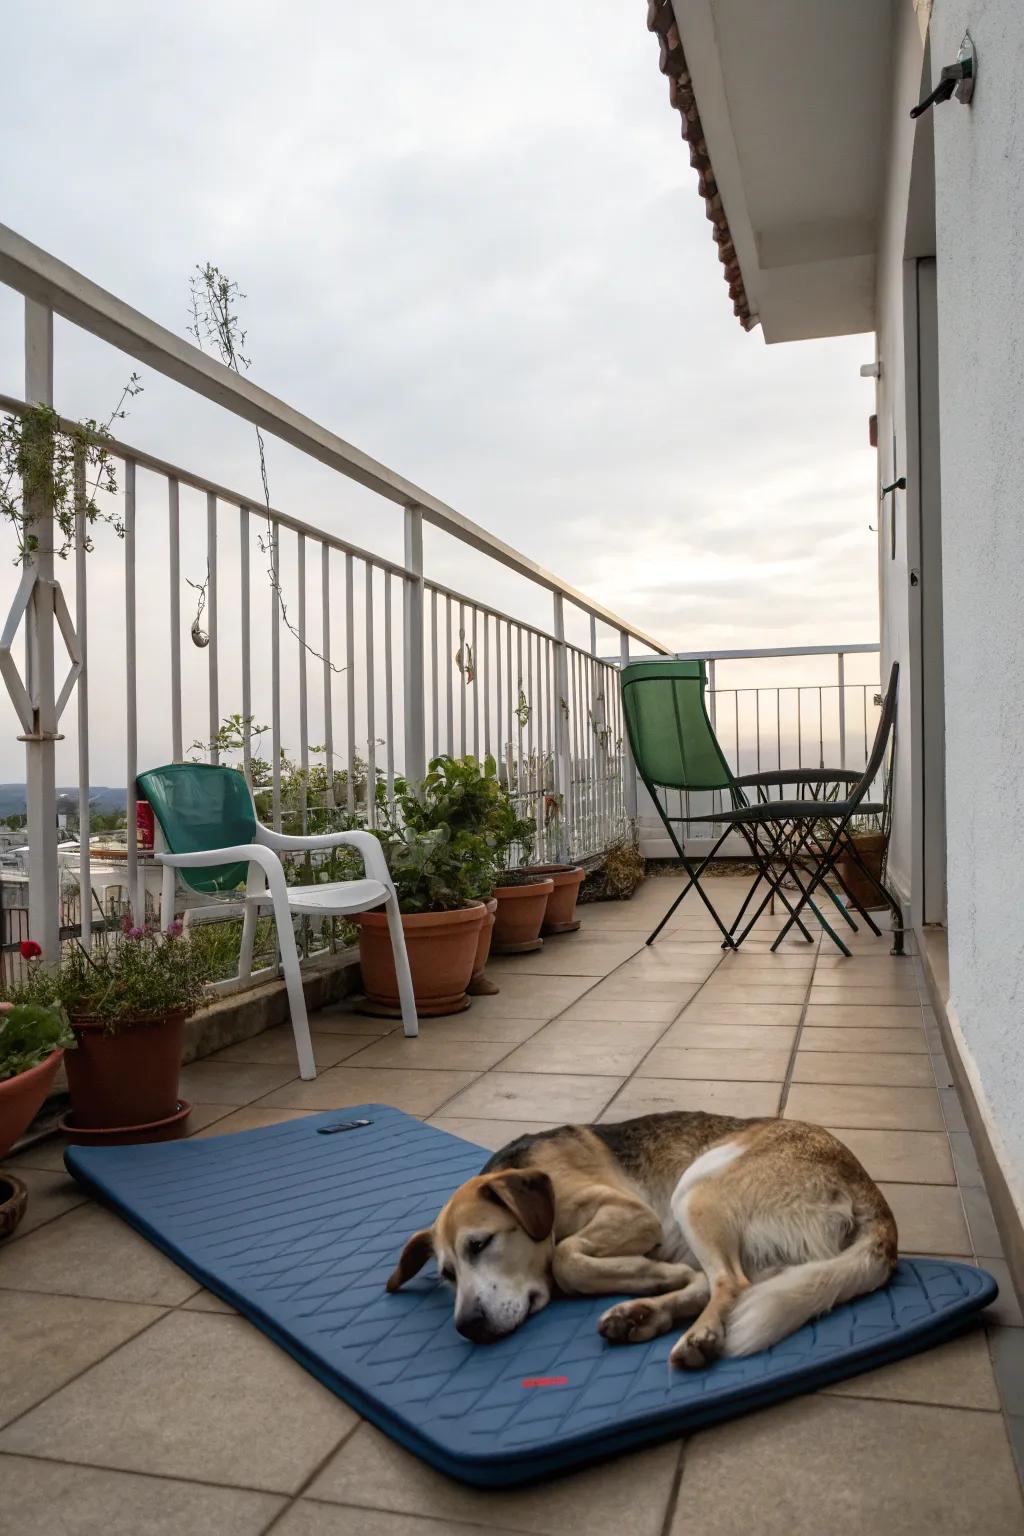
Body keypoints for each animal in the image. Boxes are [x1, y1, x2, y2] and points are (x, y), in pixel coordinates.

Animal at [386, 1105, 896, 1370]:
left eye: (480, 1244)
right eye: (448, 1275)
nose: (467, 1326)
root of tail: (870, 1194)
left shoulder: (636, 1215)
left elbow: (564, 1259)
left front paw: (649, 1271)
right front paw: (654, 1278)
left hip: (696, 1188)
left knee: (732, 1283)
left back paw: (696, 1333)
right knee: (726, 1283)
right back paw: (643, 1315)